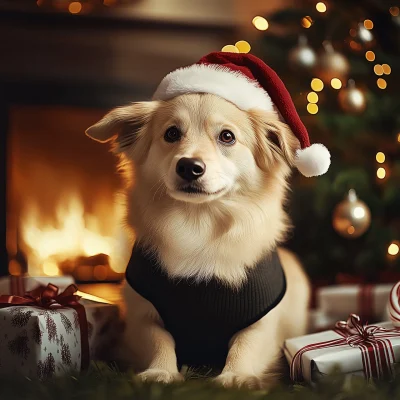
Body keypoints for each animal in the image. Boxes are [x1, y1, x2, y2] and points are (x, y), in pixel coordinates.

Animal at [86, 92, 312, 390]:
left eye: (227, 136)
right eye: (171, 133)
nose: (188, 166)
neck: (198, 224)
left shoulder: (263, 320)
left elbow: (246, 342)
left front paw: (236, 375)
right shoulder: (141, 315)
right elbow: (159, 339)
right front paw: (160, 371)